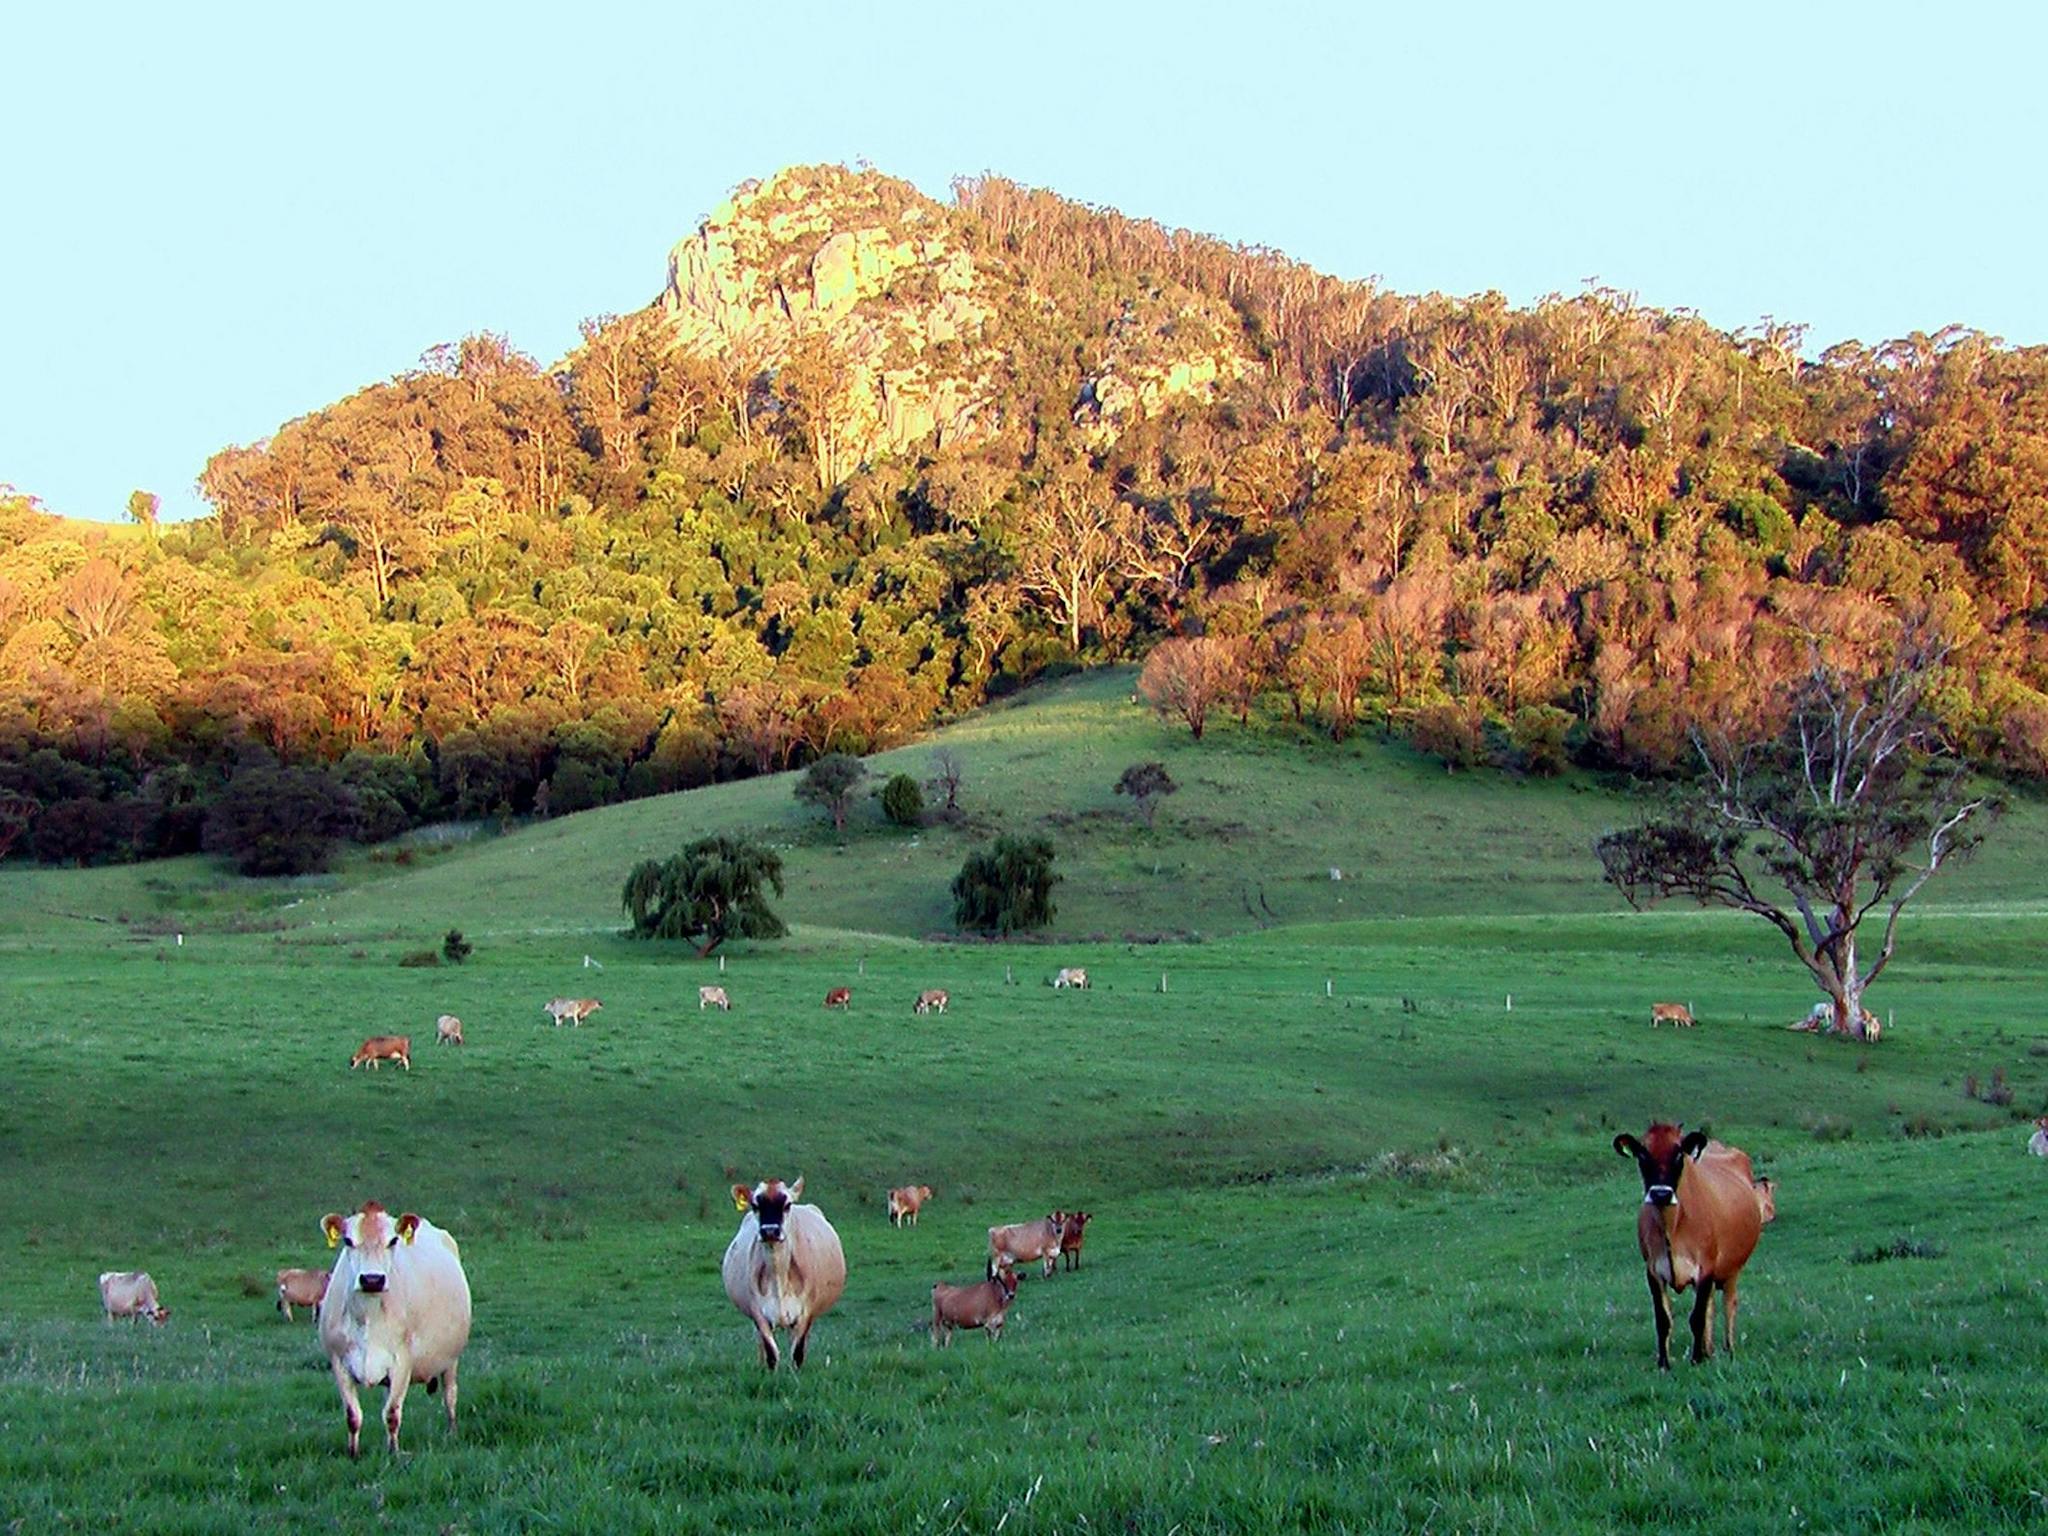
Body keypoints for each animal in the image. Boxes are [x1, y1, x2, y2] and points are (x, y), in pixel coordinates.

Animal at [318, 1201, 472, 1458]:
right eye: (348, 1240)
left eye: (393, 1240)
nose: (372, 1280)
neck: (368, 1317)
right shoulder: (339, 1362)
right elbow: (352, 1415)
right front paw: (353, 1454)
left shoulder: (402, 1362)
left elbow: (391, 1413)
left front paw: (393, 1452)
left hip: (451, 1360)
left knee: (450, 1396)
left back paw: (452, 1433)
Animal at [722, 1176, 846, 1370]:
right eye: (755, 1205)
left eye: (787, 1205)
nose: (770, 1231)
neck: (778, 1274)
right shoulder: (758, 1313)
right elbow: (771, 1354)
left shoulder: (805, 1313)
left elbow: (797, 1354)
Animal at [1612, 1123, 1765, 1369]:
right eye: (1642, 1154)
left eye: (1678, 1154)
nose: (1661, 1194)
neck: (1672, 1227)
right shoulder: (1653, 1271)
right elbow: (1663, 1319)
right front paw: (1664, 1363)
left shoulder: (1706, 1268)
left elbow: (1697, 1317)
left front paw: (1696, 1359)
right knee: (1711, 1307)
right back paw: (1709, 1350)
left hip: (1733, 1268)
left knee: (1728, 1304)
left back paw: (1728, 1349)